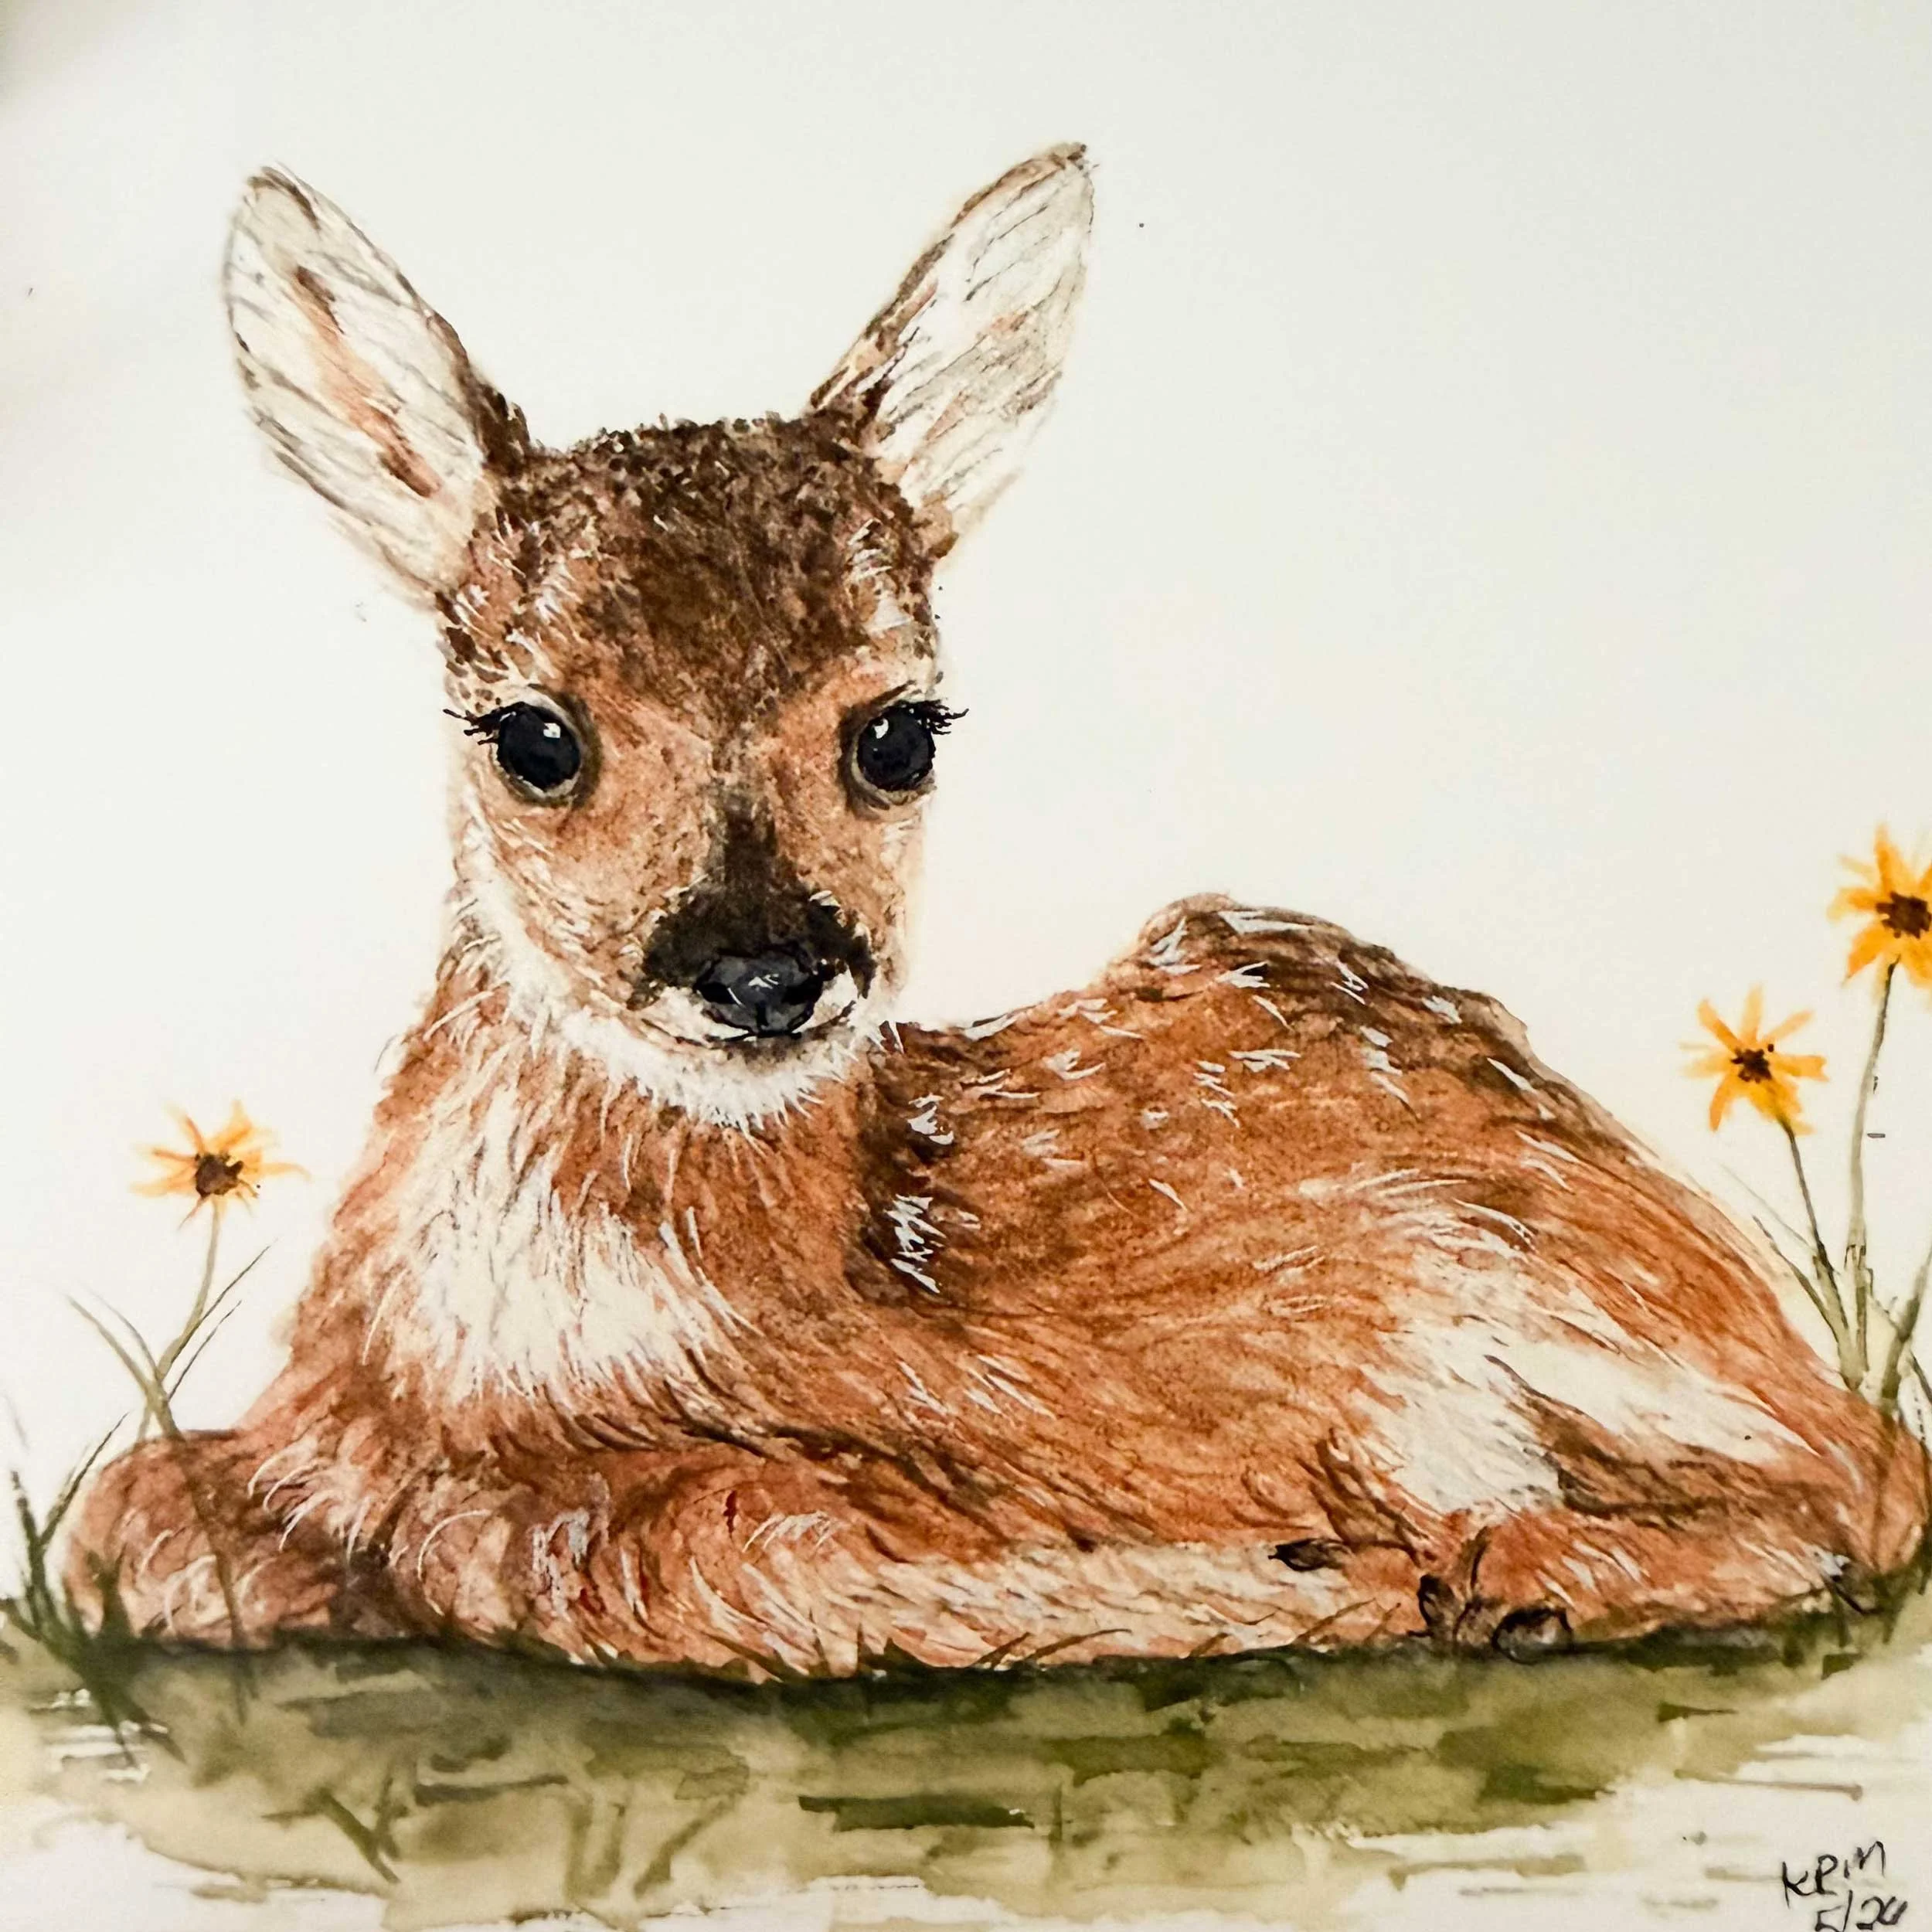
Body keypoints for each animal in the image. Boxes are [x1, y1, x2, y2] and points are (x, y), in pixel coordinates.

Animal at [68, 146, 1927, 1673]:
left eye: (898, 730)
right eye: (534, 733)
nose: (767, 969)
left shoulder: (1003, 1431)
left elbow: (670, 1544)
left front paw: (1314, 1577)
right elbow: (128, 1516)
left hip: (1531, 1290)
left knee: (1861, 1485)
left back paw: (1512, 1570)